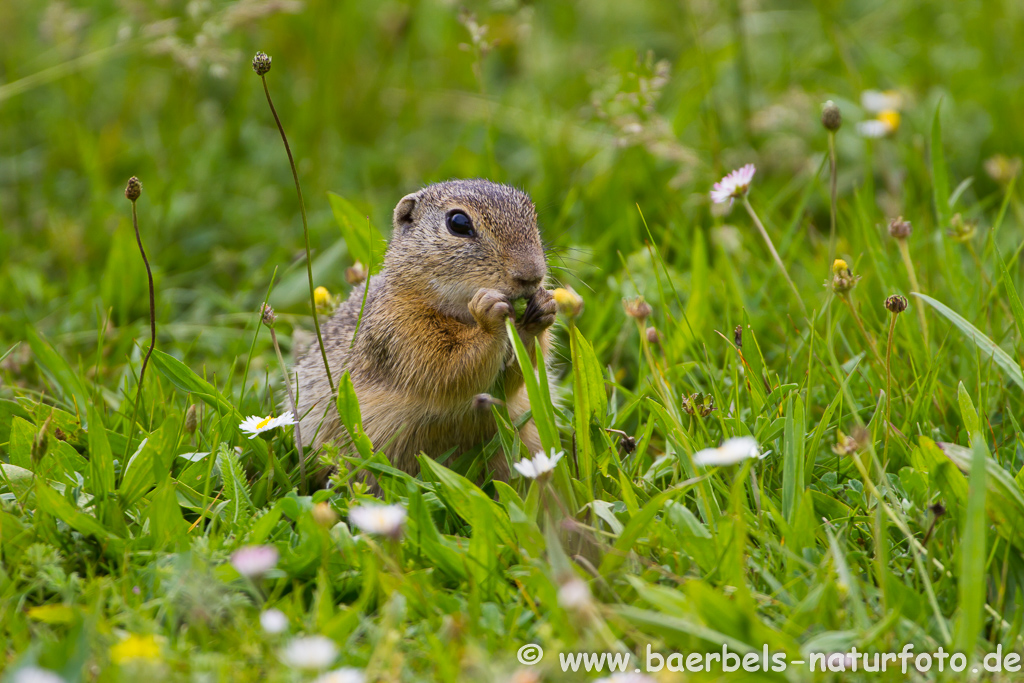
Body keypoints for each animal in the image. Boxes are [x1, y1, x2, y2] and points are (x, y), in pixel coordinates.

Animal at [292, 179, 557, 483]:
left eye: (531, 215)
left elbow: (510, 382)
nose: (532, 275)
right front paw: (489, 315)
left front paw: (543, 308)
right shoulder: (401, 330)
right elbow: (447, 368)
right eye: (458, 223)